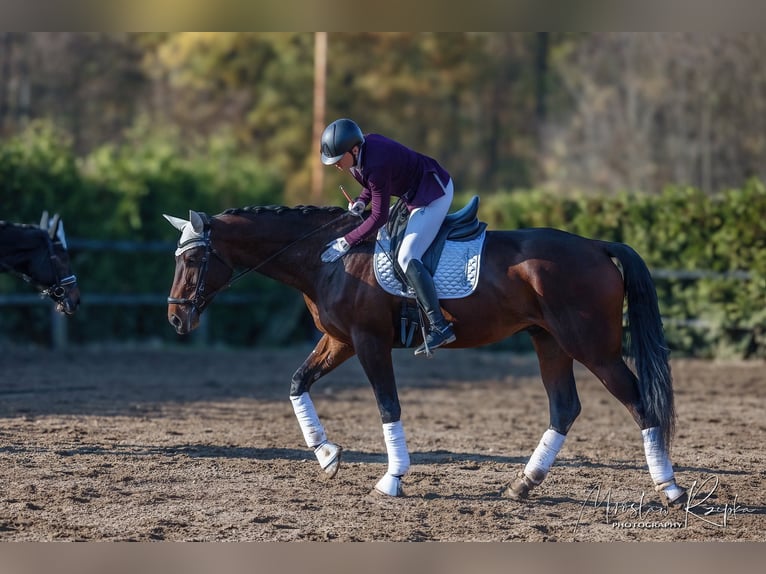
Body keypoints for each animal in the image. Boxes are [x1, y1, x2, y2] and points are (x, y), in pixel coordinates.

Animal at [163, 201, 686, 505]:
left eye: (195, 258)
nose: (175, 319)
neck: (329, 257)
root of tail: (596, 245)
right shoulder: (340, 341)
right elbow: (297, 382)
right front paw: (327, 454)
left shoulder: (368, 342)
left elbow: (388, 406)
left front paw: (392, 479)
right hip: (549, 341)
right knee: (565, 407)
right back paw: (522, 484)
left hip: (592, 348)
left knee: (640, 403)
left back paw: (670, 489)